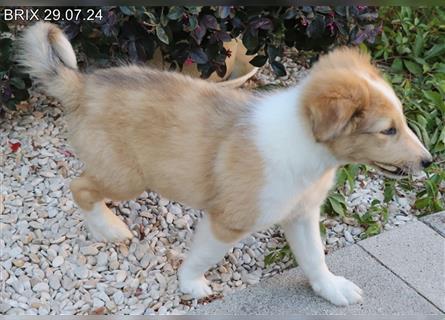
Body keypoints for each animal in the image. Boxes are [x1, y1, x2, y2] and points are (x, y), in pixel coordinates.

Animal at [20, 22, 430, 304]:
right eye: (388, 130)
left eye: (401, 120)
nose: (428, 162)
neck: (307, 147)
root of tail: (83, 85)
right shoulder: (229, 221)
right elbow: (204, 256)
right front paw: (191, 284)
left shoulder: (301, 213)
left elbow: (314, 256)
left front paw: (332, 289)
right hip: (127, 176)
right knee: (79, 187)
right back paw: (109, 228)